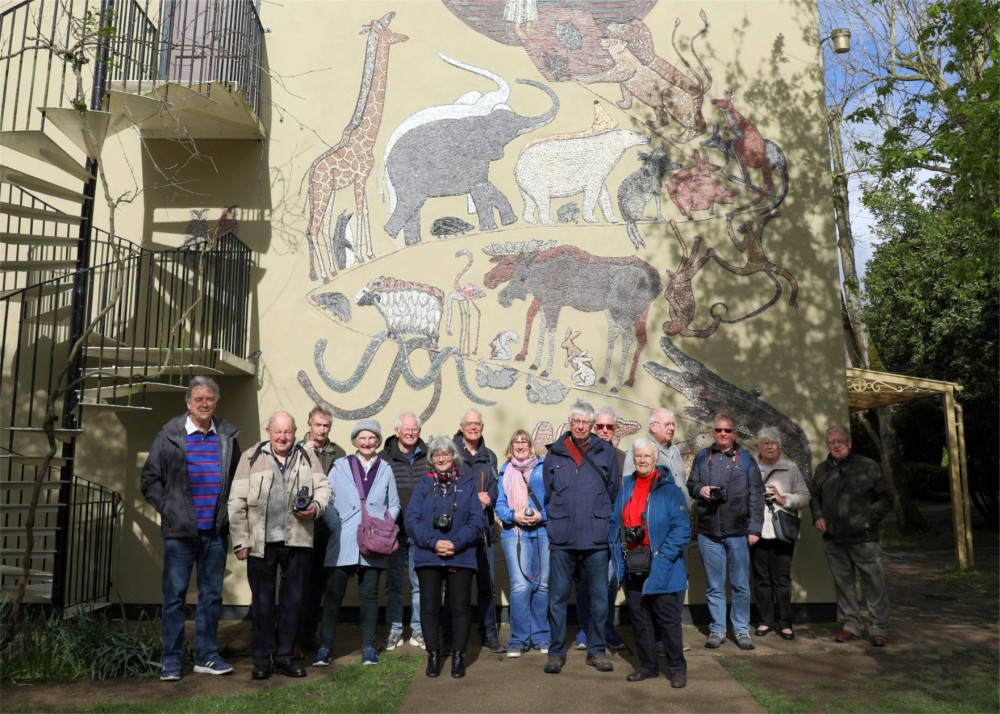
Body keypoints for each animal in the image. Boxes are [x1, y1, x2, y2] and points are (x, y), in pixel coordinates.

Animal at [304, 13, 406, 280]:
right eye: (388, 31)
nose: (404, 36)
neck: (366, 137)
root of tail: (311, 173)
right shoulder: (359, 178)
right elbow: (360, 212)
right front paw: (361, 257)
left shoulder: (364, 178)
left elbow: (367, 212)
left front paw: (370, 253)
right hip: (322, 193)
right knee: (313, 228)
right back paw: (324, 275)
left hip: (326, 193)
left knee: (322, 226)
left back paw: (326, 271)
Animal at [512, 127, 652, 222]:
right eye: (632, 133)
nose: (649, 137)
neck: (605, 147)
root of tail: (517, 166)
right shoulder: (593, 168)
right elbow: (592, 193)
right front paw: (592, 218)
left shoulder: (599, 173)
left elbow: (603, 193)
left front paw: (613, 218)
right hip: (535, 177)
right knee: (542, 198)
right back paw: (548, 220)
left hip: (525, 182)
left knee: (529, 200)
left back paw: (530, 219)